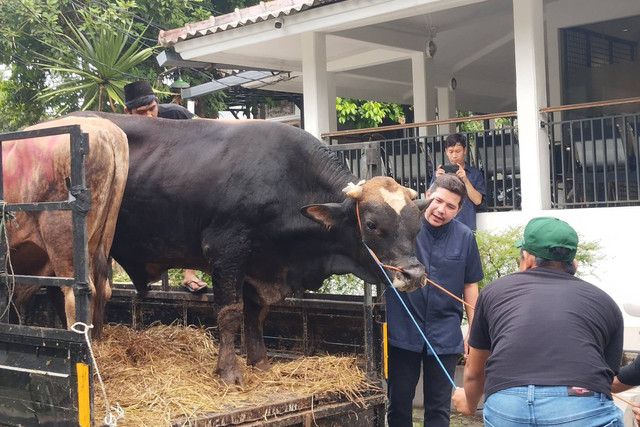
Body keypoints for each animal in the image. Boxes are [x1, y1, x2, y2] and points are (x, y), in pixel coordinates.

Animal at [70, 110, 428, 384]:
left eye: (417, 224)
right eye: (371, 225)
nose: (414, 275)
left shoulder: (261, 263)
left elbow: (256, 313)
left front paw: (260, 363)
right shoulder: (226, 249)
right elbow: (230, 313)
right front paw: (229, 372)